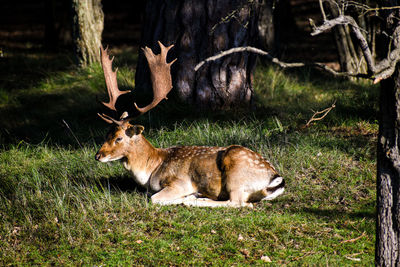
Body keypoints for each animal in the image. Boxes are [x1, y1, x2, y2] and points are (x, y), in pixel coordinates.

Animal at [94, 40, 284, 208]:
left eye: (119, 138)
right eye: (107, 134)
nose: (98, 155)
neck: (151, 169)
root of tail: (276, 178)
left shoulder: (180, 182)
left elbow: (154, 198)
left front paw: (189, 196)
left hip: (236, 174)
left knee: (239, 203)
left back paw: (195, 199)